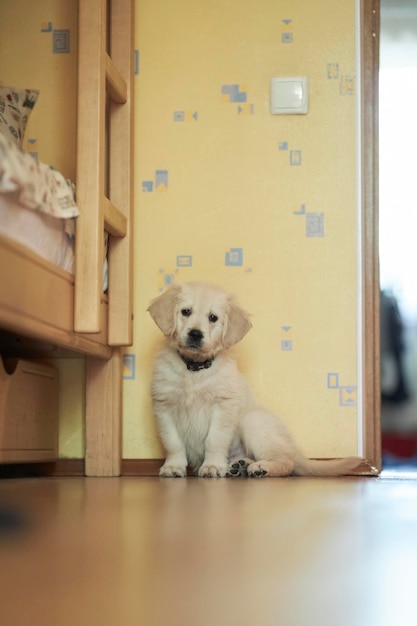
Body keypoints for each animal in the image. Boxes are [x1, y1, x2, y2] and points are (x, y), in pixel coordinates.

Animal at [147, 280, 360, 476]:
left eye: (213, 317)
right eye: (185, 311)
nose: (195, 334)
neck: (194, 369)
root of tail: (293, 448)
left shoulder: (223, 405)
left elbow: (214, 439)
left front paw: (212, 466)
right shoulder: (164, 406)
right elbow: (173, 442)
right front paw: (173, 466)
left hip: (252, 422)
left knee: (287, 462)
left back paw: (261, 468)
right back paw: (238, 466)